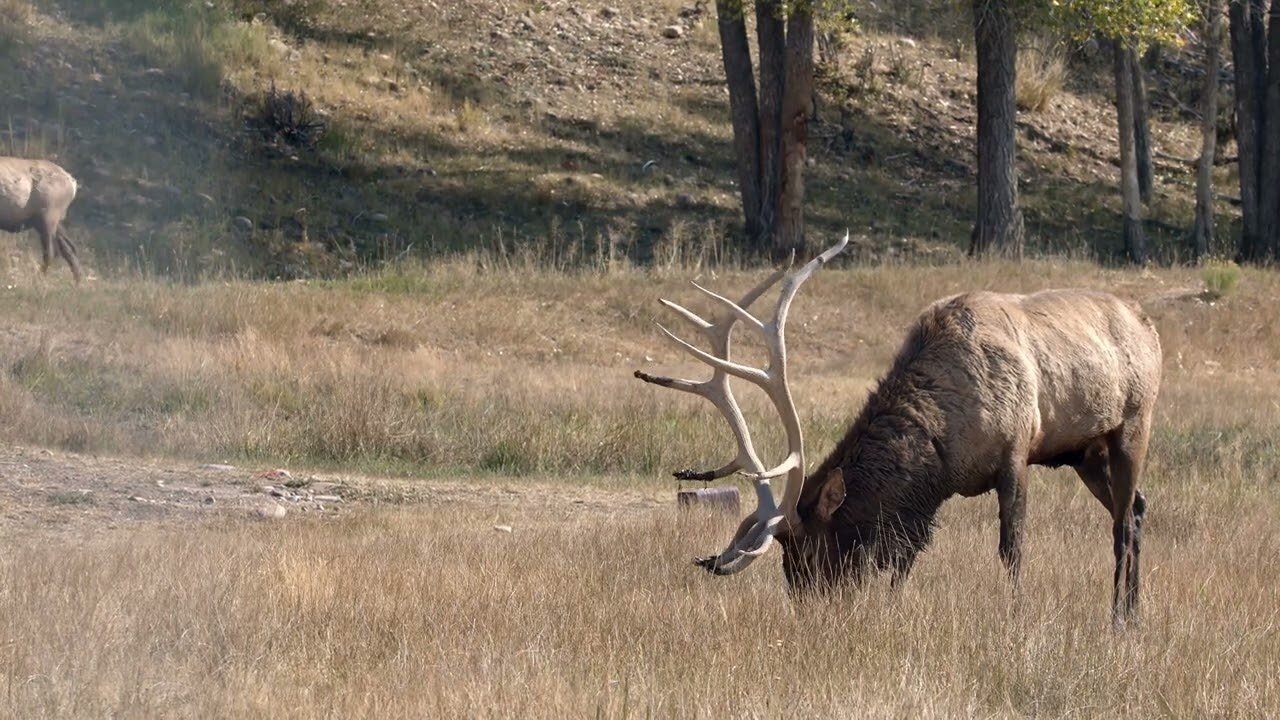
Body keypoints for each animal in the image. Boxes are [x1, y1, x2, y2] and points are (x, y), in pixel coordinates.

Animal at [637, 235, 1162, 622]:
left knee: (1122, 520)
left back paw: (1121, 617)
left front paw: (1016, 615)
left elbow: (1011, 547)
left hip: (1134, 423)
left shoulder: (1015, 454)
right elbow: (905, 561)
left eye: (809, 551)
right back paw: (1133, 612)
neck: (944, 449)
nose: (808, 612)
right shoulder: (921, 506)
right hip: (1085, 453)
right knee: (1136, 506)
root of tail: (1148, 322)